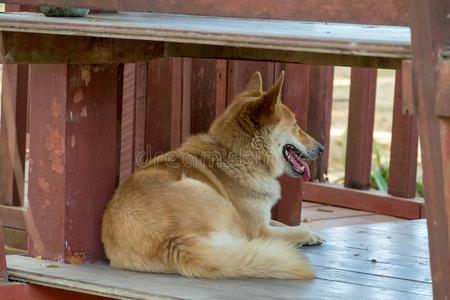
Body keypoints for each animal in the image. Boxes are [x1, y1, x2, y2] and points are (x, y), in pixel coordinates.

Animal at [103, 71, 324, 278]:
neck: (237, 153)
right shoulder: (260, 229)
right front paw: (307, 235)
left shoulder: (264, 219)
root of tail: (172, 241)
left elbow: (284, 223)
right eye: (295, 125)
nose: (322, 148)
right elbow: (297, 229)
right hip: (208, 194)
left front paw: (314, 236)